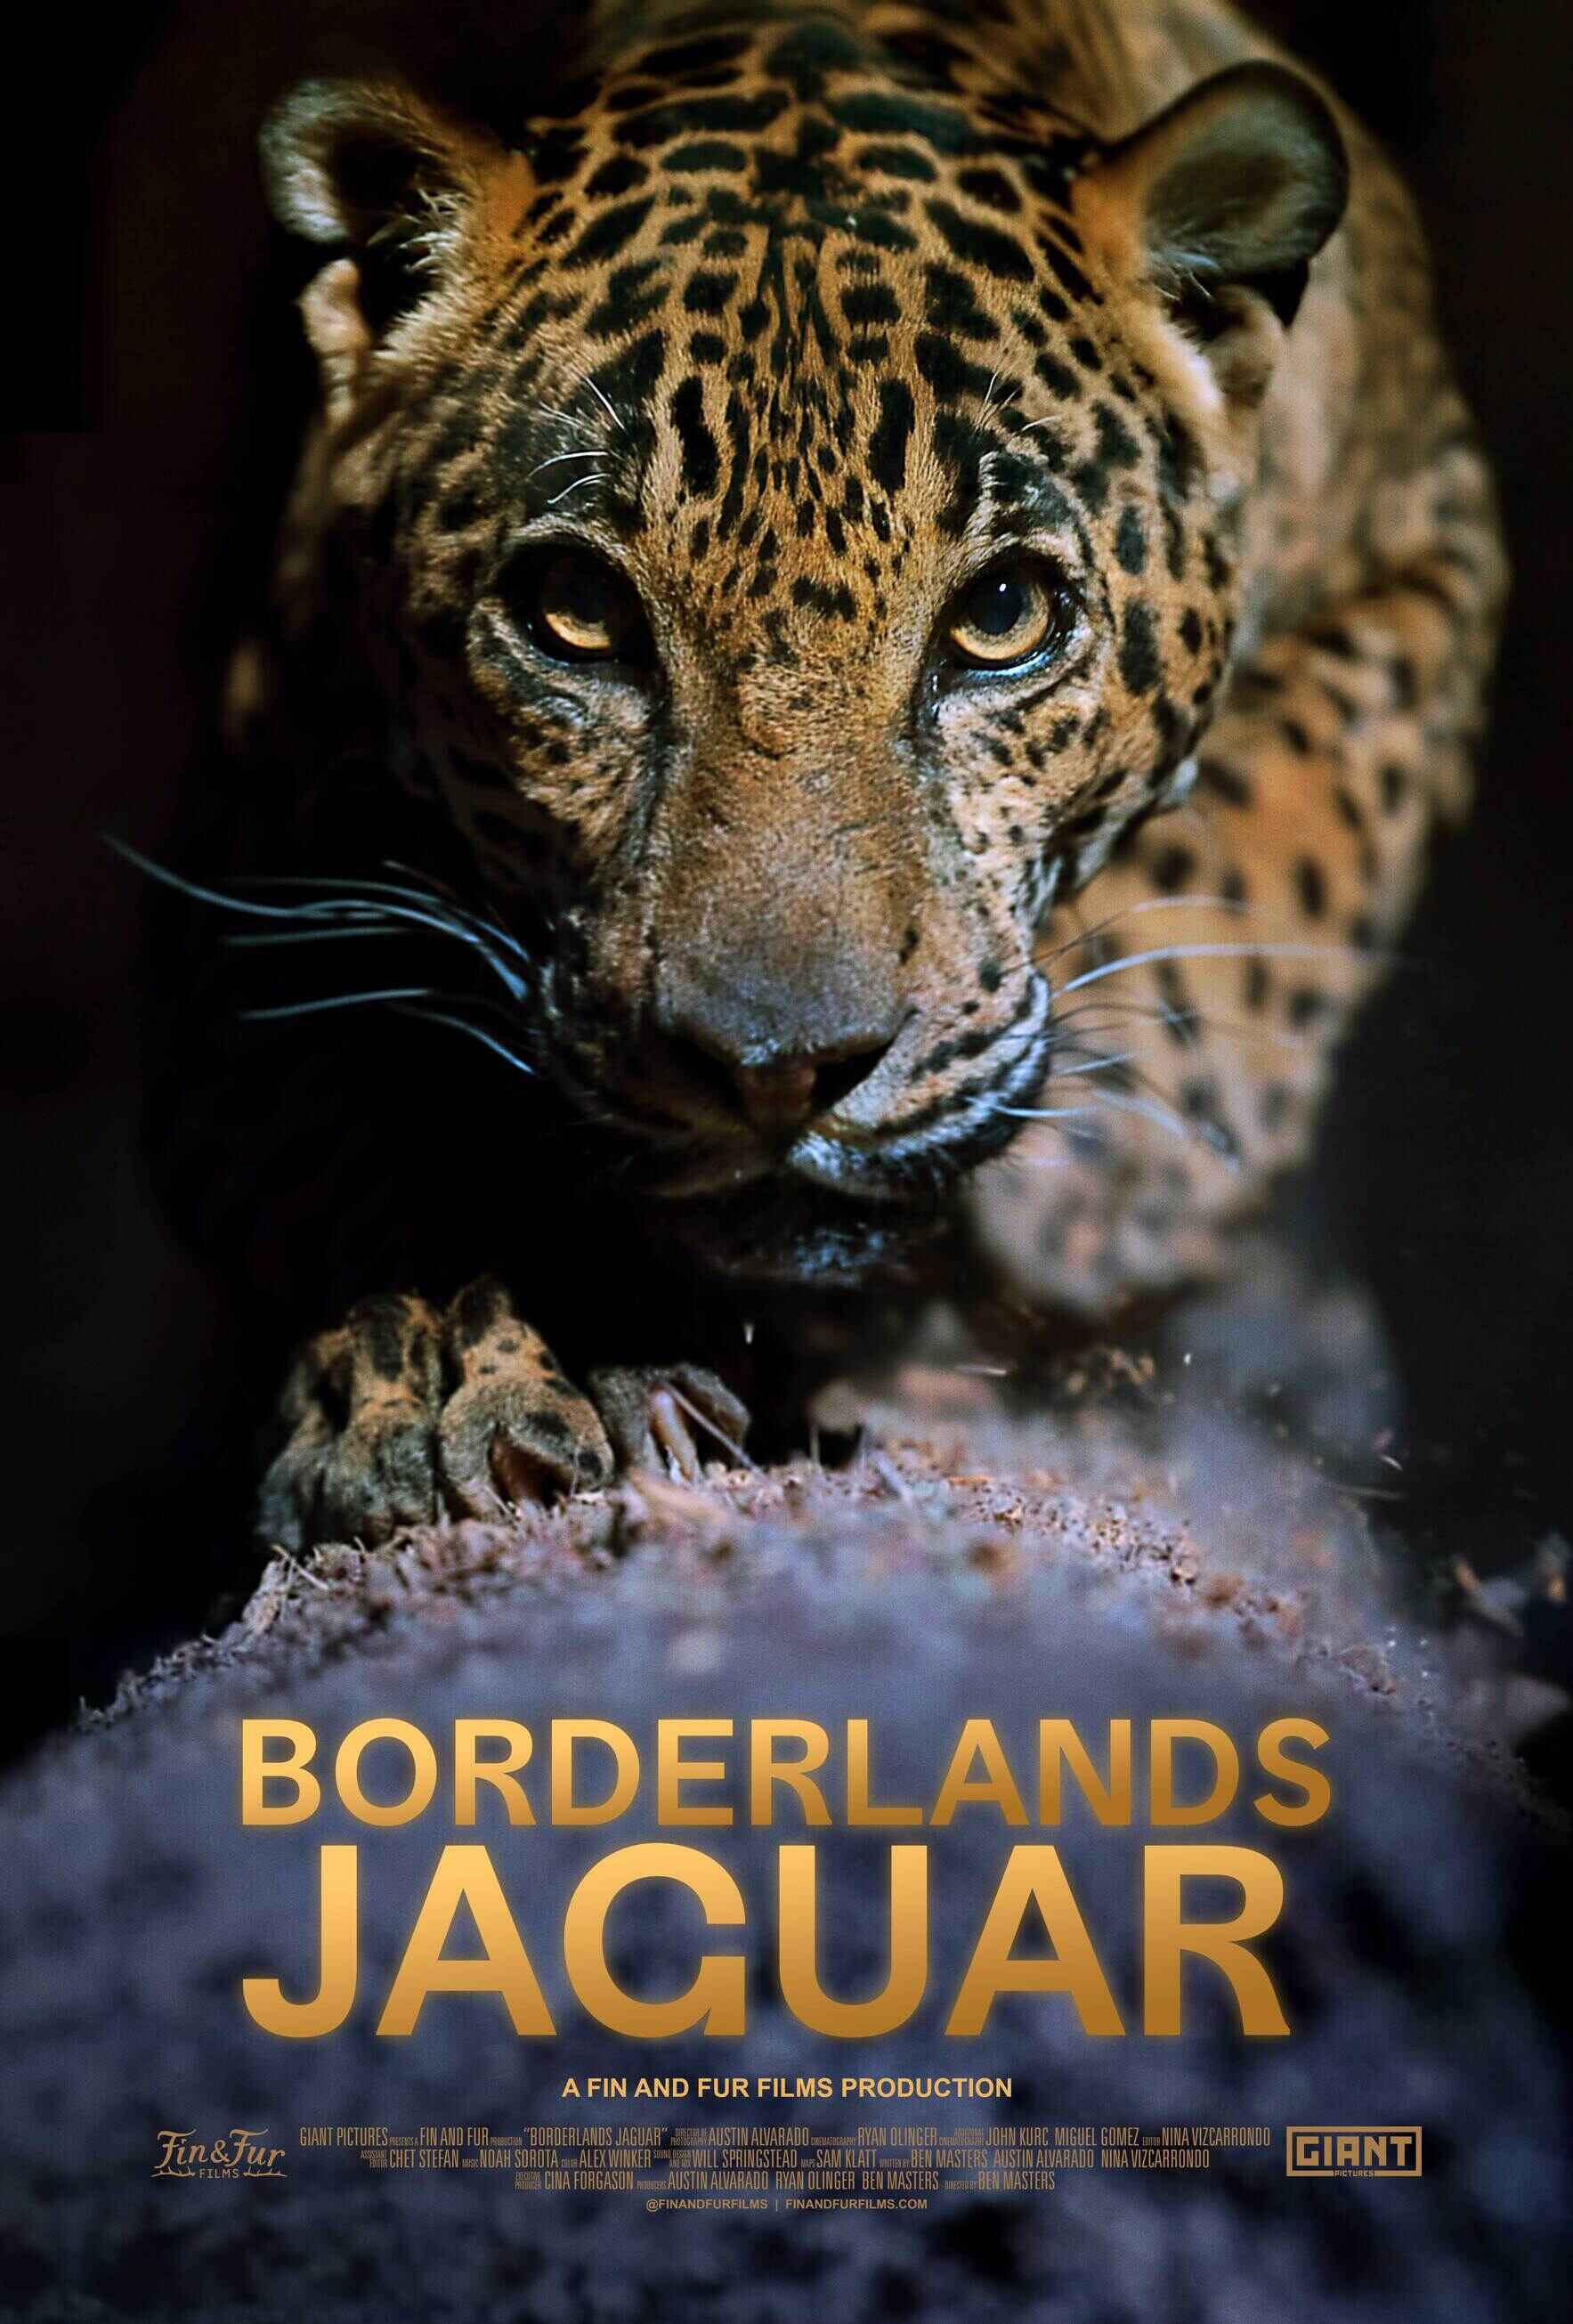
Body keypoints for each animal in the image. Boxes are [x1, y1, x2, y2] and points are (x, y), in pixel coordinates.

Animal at [151, 0, 1505, 1551]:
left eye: (1001, 616)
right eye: (574, 612)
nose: (778, 1072)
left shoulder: (1432, 537)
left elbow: (1278, 842)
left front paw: (1107, 1174)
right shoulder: (250, 857)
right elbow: (339, 1121)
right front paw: (443, 1368)